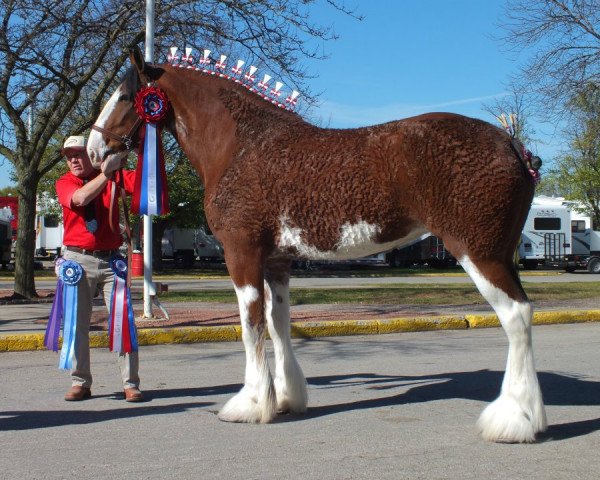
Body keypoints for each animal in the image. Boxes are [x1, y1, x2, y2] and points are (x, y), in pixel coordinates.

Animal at [86, 48, 548, 442]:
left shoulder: (242, 254)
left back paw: (513, 421)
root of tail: (513, 144)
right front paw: (287, 398)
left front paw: (250, 404)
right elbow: (278, 323)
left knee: (516, 316)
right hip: (498, 254)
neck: (242, 145)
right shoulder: (277, 262)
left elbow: (250, 324)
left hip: (479, 253)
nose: (93, 149)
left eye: (125, 96)